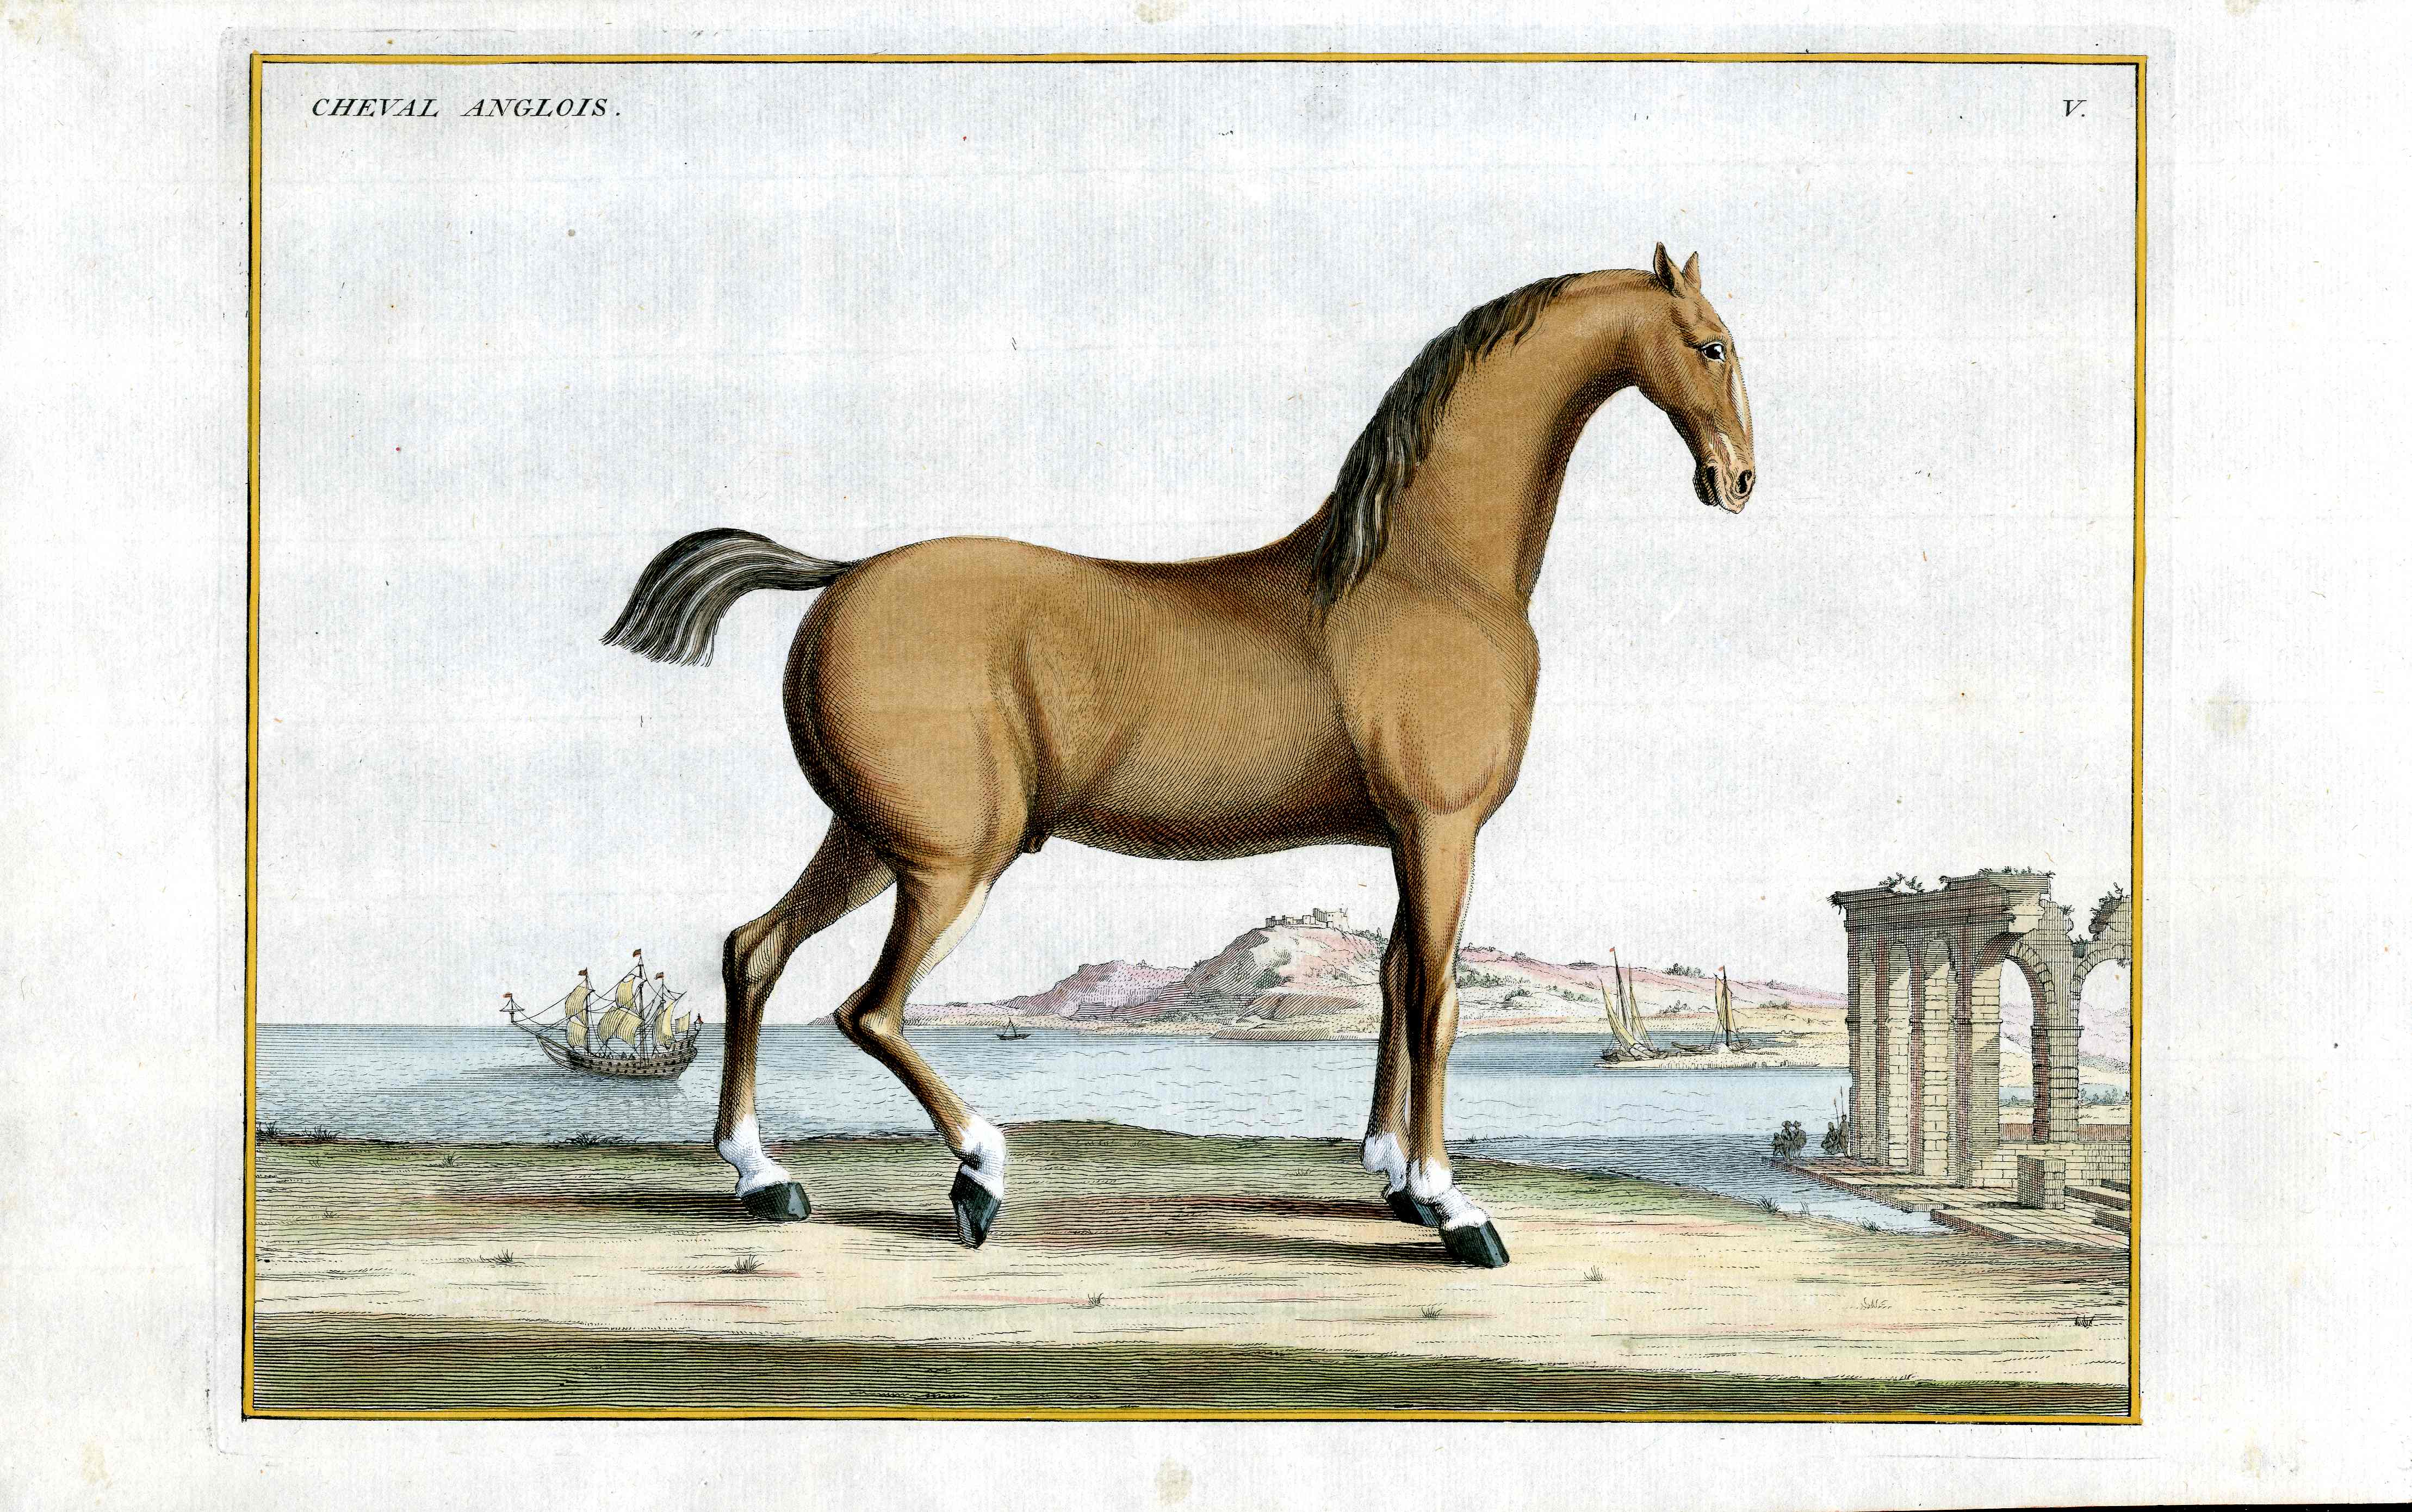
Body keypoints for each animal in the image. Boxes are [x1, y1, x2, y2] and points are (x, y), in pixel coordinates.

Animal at [603, 245, 1755, 1267]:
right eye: (1709, 343)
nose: (1738, 480)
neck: (1425, 573)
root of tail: (843, 575)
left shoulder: (1406, 839)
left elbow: (1391, 983)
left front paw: (1392, 1178)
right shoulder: (1443, 831)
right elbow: (1436, 1001)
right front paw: (1450, 1205)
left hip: (867, 840)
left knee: (754, 953)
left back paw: (766, 1179)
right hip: (948, 865)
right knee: (866, 1009)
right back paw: (979, 1173)